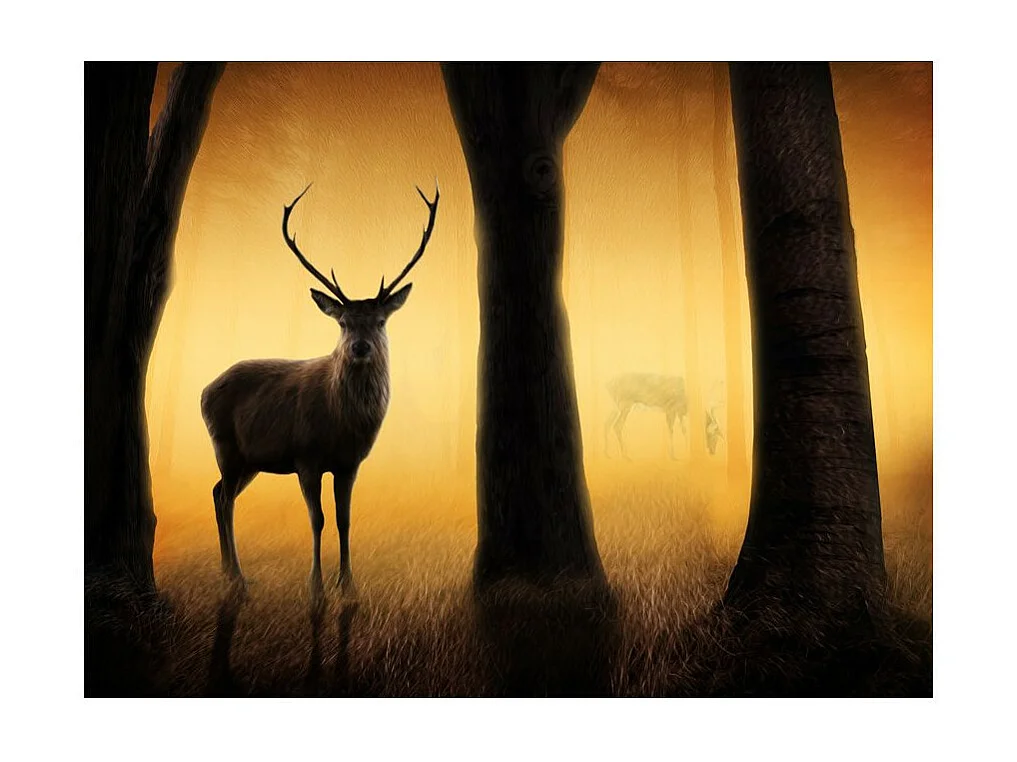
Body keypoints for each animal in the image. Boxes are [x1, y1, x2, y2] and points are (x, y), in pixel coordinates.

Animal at [200, 182, 439, 598]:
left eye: (380, 321)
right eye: (343, 322)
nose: (360, 347)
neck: (342, 425)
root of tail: (202, 391)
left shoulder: (350, 463)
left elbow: (344, 519)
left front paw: (349, 585)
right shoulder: (305, 456)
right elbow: (317, 519)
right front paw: (317, 587)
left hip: (250, 460)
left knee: (217, 494)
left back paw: (229, 572)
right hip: (225, 446)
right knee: (225, 499)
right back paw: (238, 578)